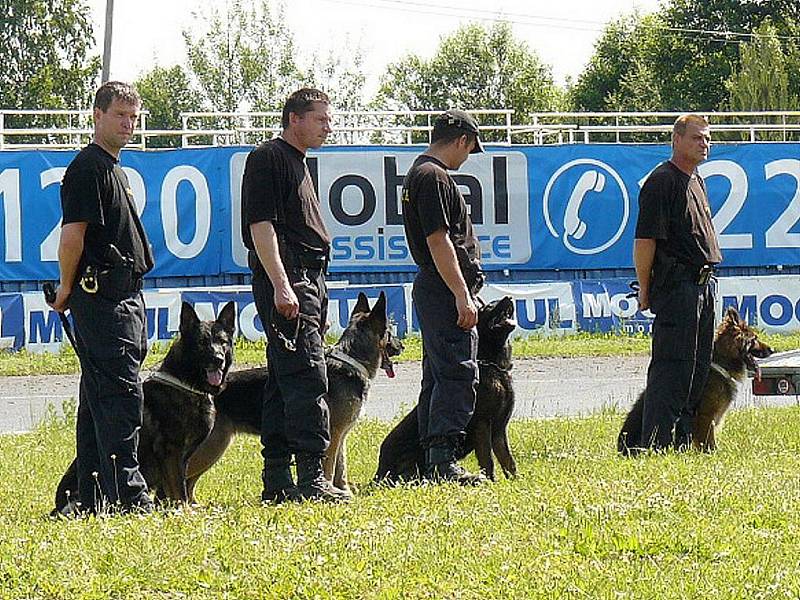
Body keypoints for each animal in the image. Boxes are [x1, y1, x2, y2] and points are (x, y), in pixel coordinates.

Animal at [51, 302, 234, 512]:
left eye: (222, 342)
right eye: (202, 343)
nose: (218, 359)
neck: (186, 382)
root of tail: (59, 506)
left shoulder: (182, 458)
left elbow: (172, 490)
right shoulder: (171, 452)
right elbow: (179, 489)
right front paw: (184, 511)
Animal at [184, 292, 404, 496]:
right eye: (390, 332)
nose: (402, 346)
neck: (351, 361)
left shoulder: (340, 436)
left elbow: (341, 468)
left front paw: (344, 491)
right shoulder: (332, 436)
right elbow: (329, 467)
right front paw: (329, 490)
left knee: (189, 481)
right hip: (212, 446)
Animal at [376, 296, 520, 482]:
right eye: (490, 306)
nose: (509, 298)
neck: (493, 365)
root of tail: (379, 473)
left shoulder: (499, 430)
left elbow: (508, 461)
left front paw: (516, 481)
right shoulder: (482, 425)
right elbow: (488, 460)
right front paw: (490, 481)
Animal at [616, 308, 772, 452]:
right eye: (754, 339)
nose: (772, 350)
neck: (722, 362)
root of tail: (621, 449)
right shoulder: (706, 416)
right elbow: (709, 442)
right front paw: (712, 455)